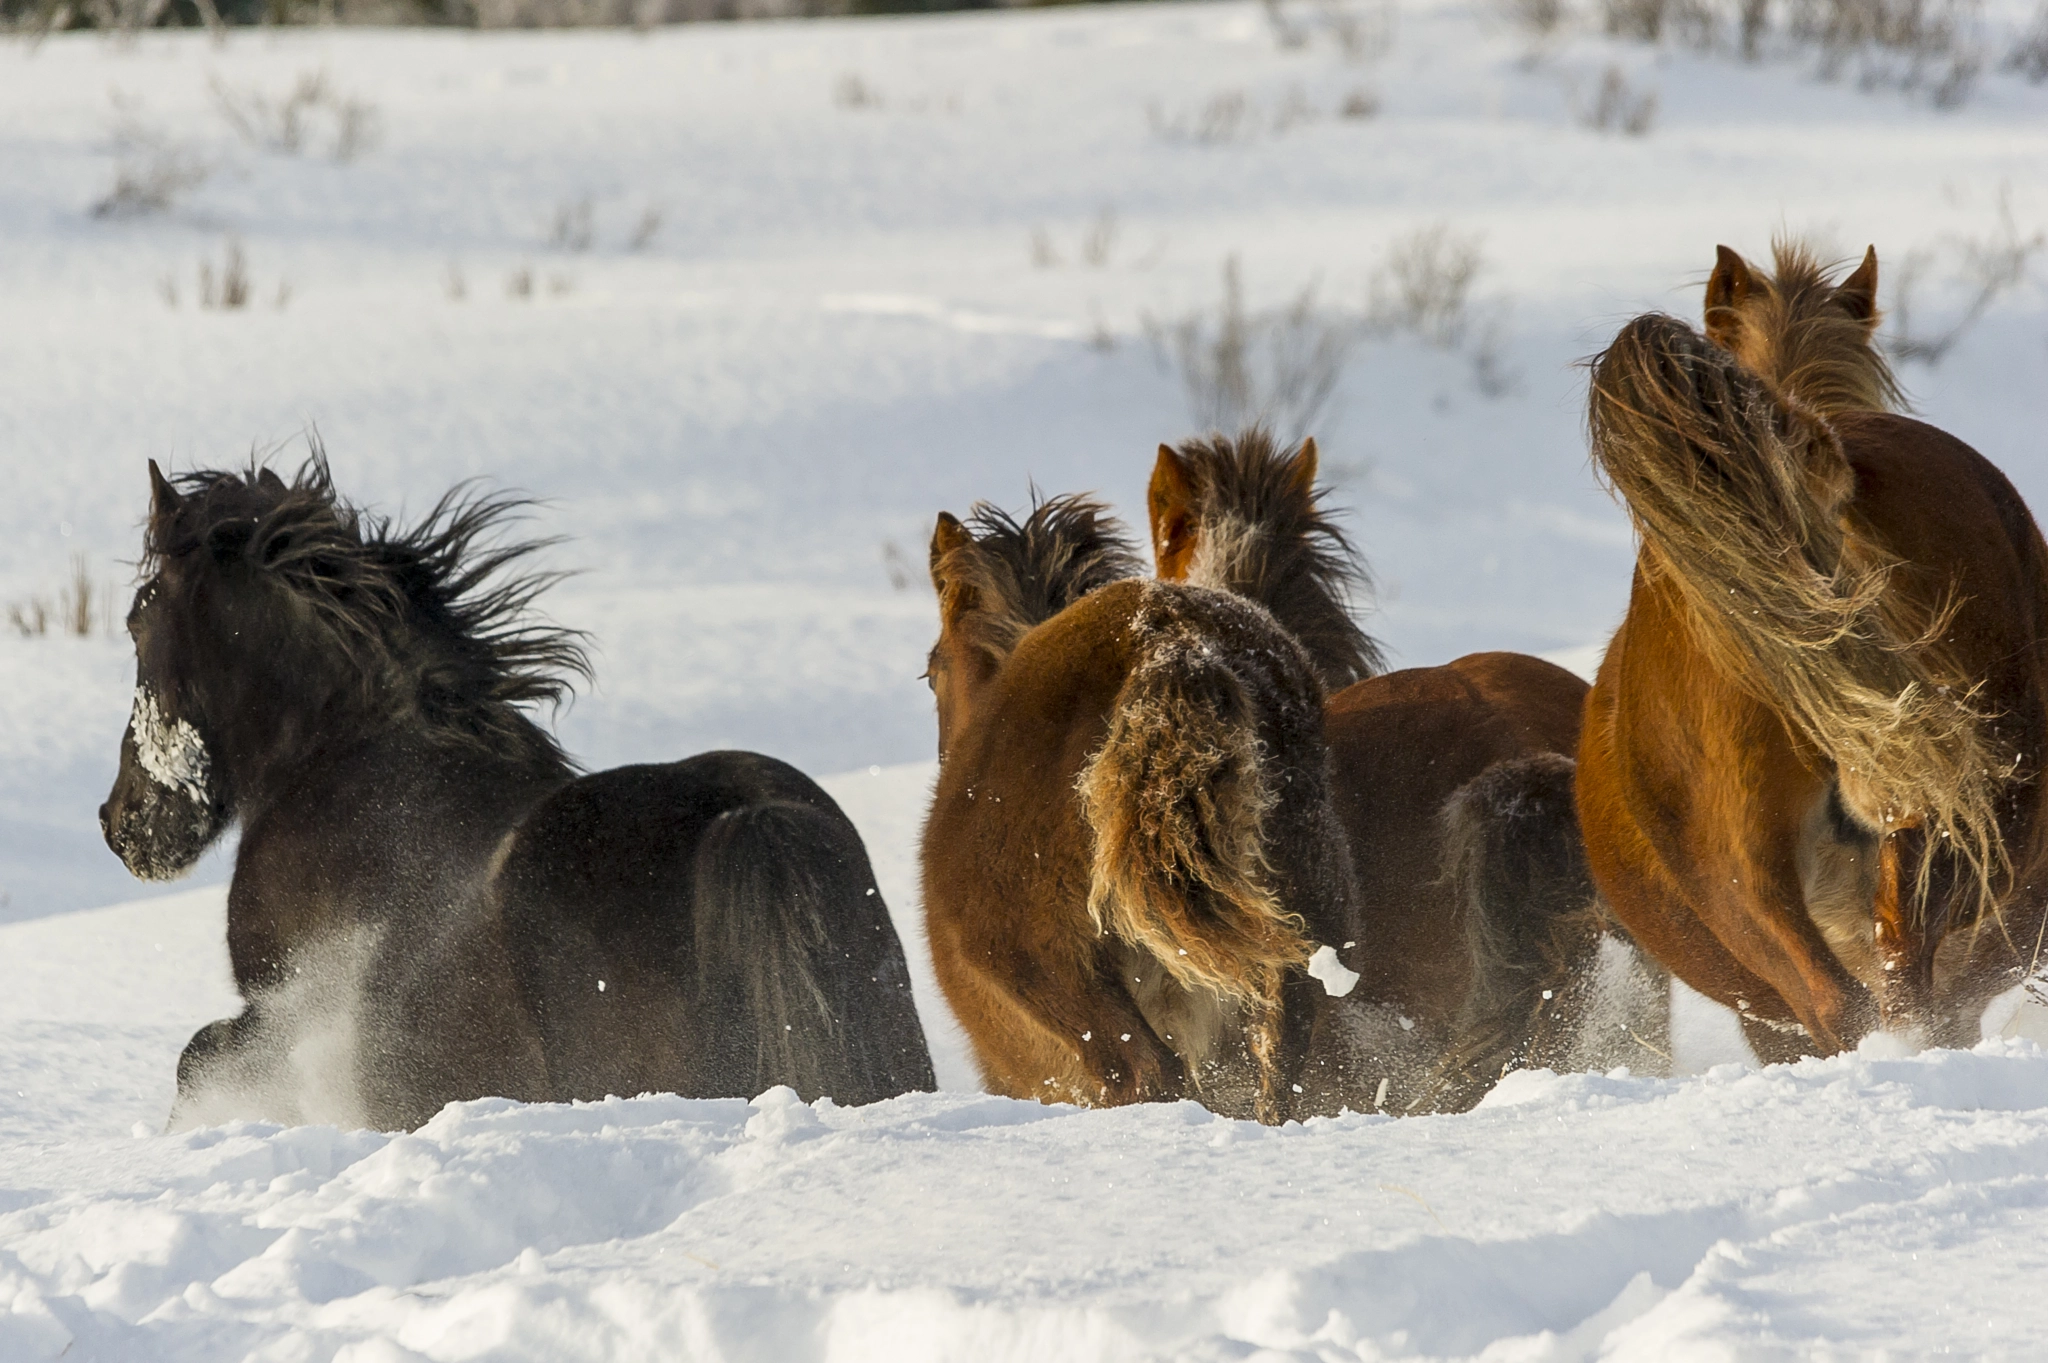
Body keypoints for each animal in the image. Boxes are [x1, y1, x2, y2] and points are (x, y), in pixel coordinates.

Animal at [100, 455, 934, 1131]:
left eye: (139, 616)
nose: (122, 823)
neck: (349, 759)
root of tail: (747, 821)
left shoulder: (280, 1012)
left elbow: (197, 1054)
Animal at [919, 494, 1359, 1124]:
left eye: (932, 672)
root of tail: (1173, 645)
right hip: (1296, 952)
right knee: (1277, 1072)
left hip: (1059, 978)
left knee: (1149, 1075)